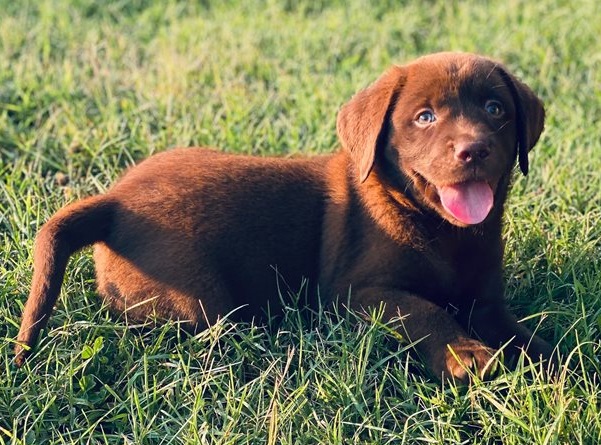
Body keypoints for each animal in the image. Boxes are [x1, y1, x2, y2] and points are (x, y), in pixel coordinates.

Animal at [12, 51, 552, 378]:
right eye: (425, 117)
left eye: (495, 109)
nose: (473, 149)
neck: (444, 231)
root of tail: (113, 202)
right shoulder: (356, 293)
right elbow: (424, 310)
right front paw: (468, 355)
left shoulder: (485, 300)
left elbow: (523, 334)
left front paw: (556, 361)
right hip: (198, 302)